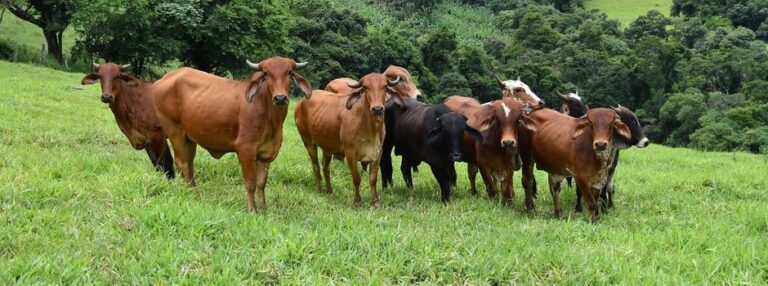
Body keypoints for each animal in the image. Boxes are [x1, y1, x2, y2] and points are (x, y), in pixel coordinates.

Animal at [150, 57, 312, 211]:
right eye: (266, 74)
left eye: (289, 72)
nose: (280, 98)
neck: (271, 119)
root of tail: (165, 78)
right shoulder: (245, 149)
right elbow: (251, 183)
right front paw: (252, 210)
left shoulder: (266, 154)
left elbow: (261, 183)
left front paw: (263, 208)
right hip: (175, 131)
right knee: (182, 163)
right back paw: (192, 194)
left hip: (189, 138)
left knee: (189, 164)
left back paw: (195, 193)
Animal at [296, 72, 402, 204]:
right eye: (365, 87)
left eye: (385, 86)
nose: (377, 109)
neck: (370, 128)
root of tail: (302, 101)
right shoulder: (350, 154)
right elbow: (356, 178)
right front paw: (357, 201)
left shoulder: (378, 153)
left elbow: (373, 179)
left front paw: (375, 201)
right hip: (308, 141)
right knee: (316, 166)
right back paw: (320, 190)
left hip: (327, 147)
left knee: (326, 168)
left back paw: (329, 191)